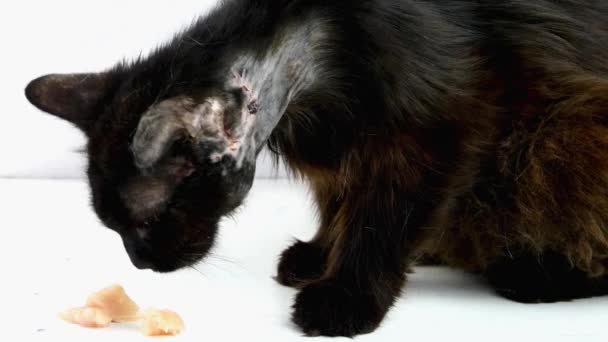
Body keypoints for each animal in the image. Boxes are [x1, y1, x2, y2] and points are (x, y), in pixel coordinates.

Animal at [26, 0, 608, 336]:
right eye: (115, 229)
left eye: (146, 223)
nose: (141, 262)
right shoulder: (342, 157)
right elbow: (341, 205)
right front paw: (320, 254)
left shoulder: (432, 139)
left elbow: (379, 223)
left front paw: (348, 294)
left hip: (565, 132)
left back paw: (536, 273)